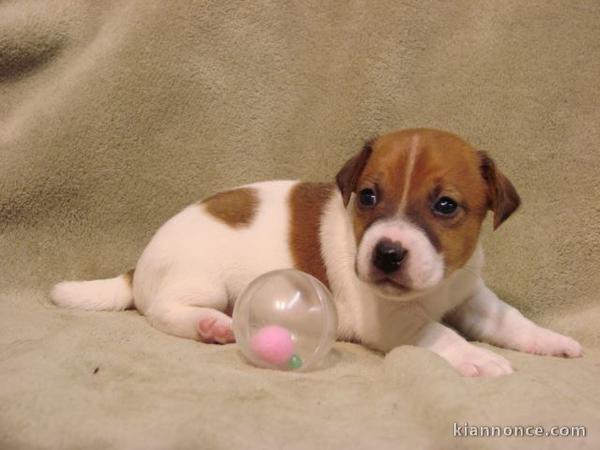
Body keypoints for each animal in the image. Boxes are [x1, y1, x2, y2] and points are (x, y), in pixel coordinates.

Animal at [50, 129, 580, 376]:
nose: (387, 254)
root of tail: (137, 266)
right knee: (162, 311)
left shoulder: (472, 295)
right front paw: (475, 357)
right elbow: (440, 334)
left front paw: (550, 340)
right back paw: (211, 325)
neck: (436, 285)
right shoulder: (393, 322)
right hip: (201, 282)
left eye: (445, 206)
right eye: (368, 196)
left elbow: (512, 321)